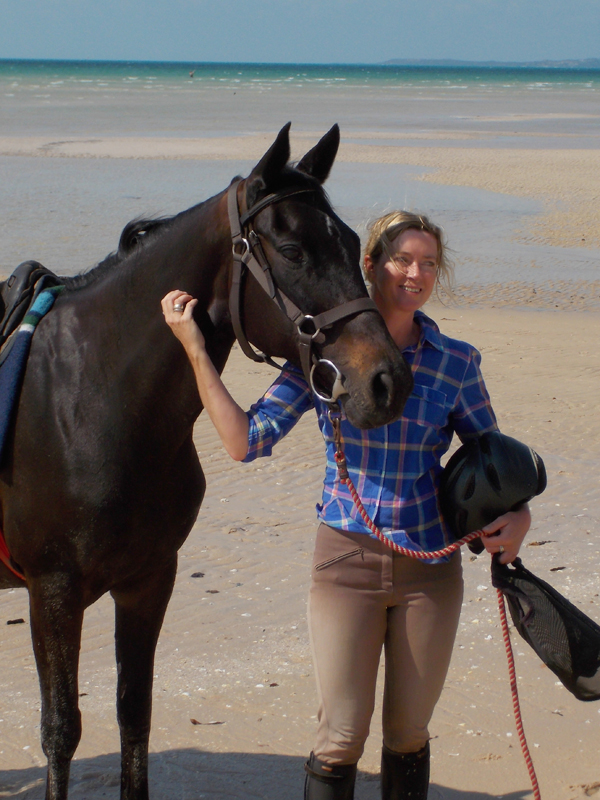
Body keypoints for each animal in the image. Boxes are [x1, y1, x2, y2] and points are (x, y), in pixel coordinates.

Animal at [0, 125, 412, 800]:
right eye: (293, 249)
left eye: (355, 244)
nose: (387, 381)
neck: (88, 395)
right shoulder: (52, 592)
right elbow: (60, 730)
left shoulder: (149, 581)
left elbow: (133, 713)